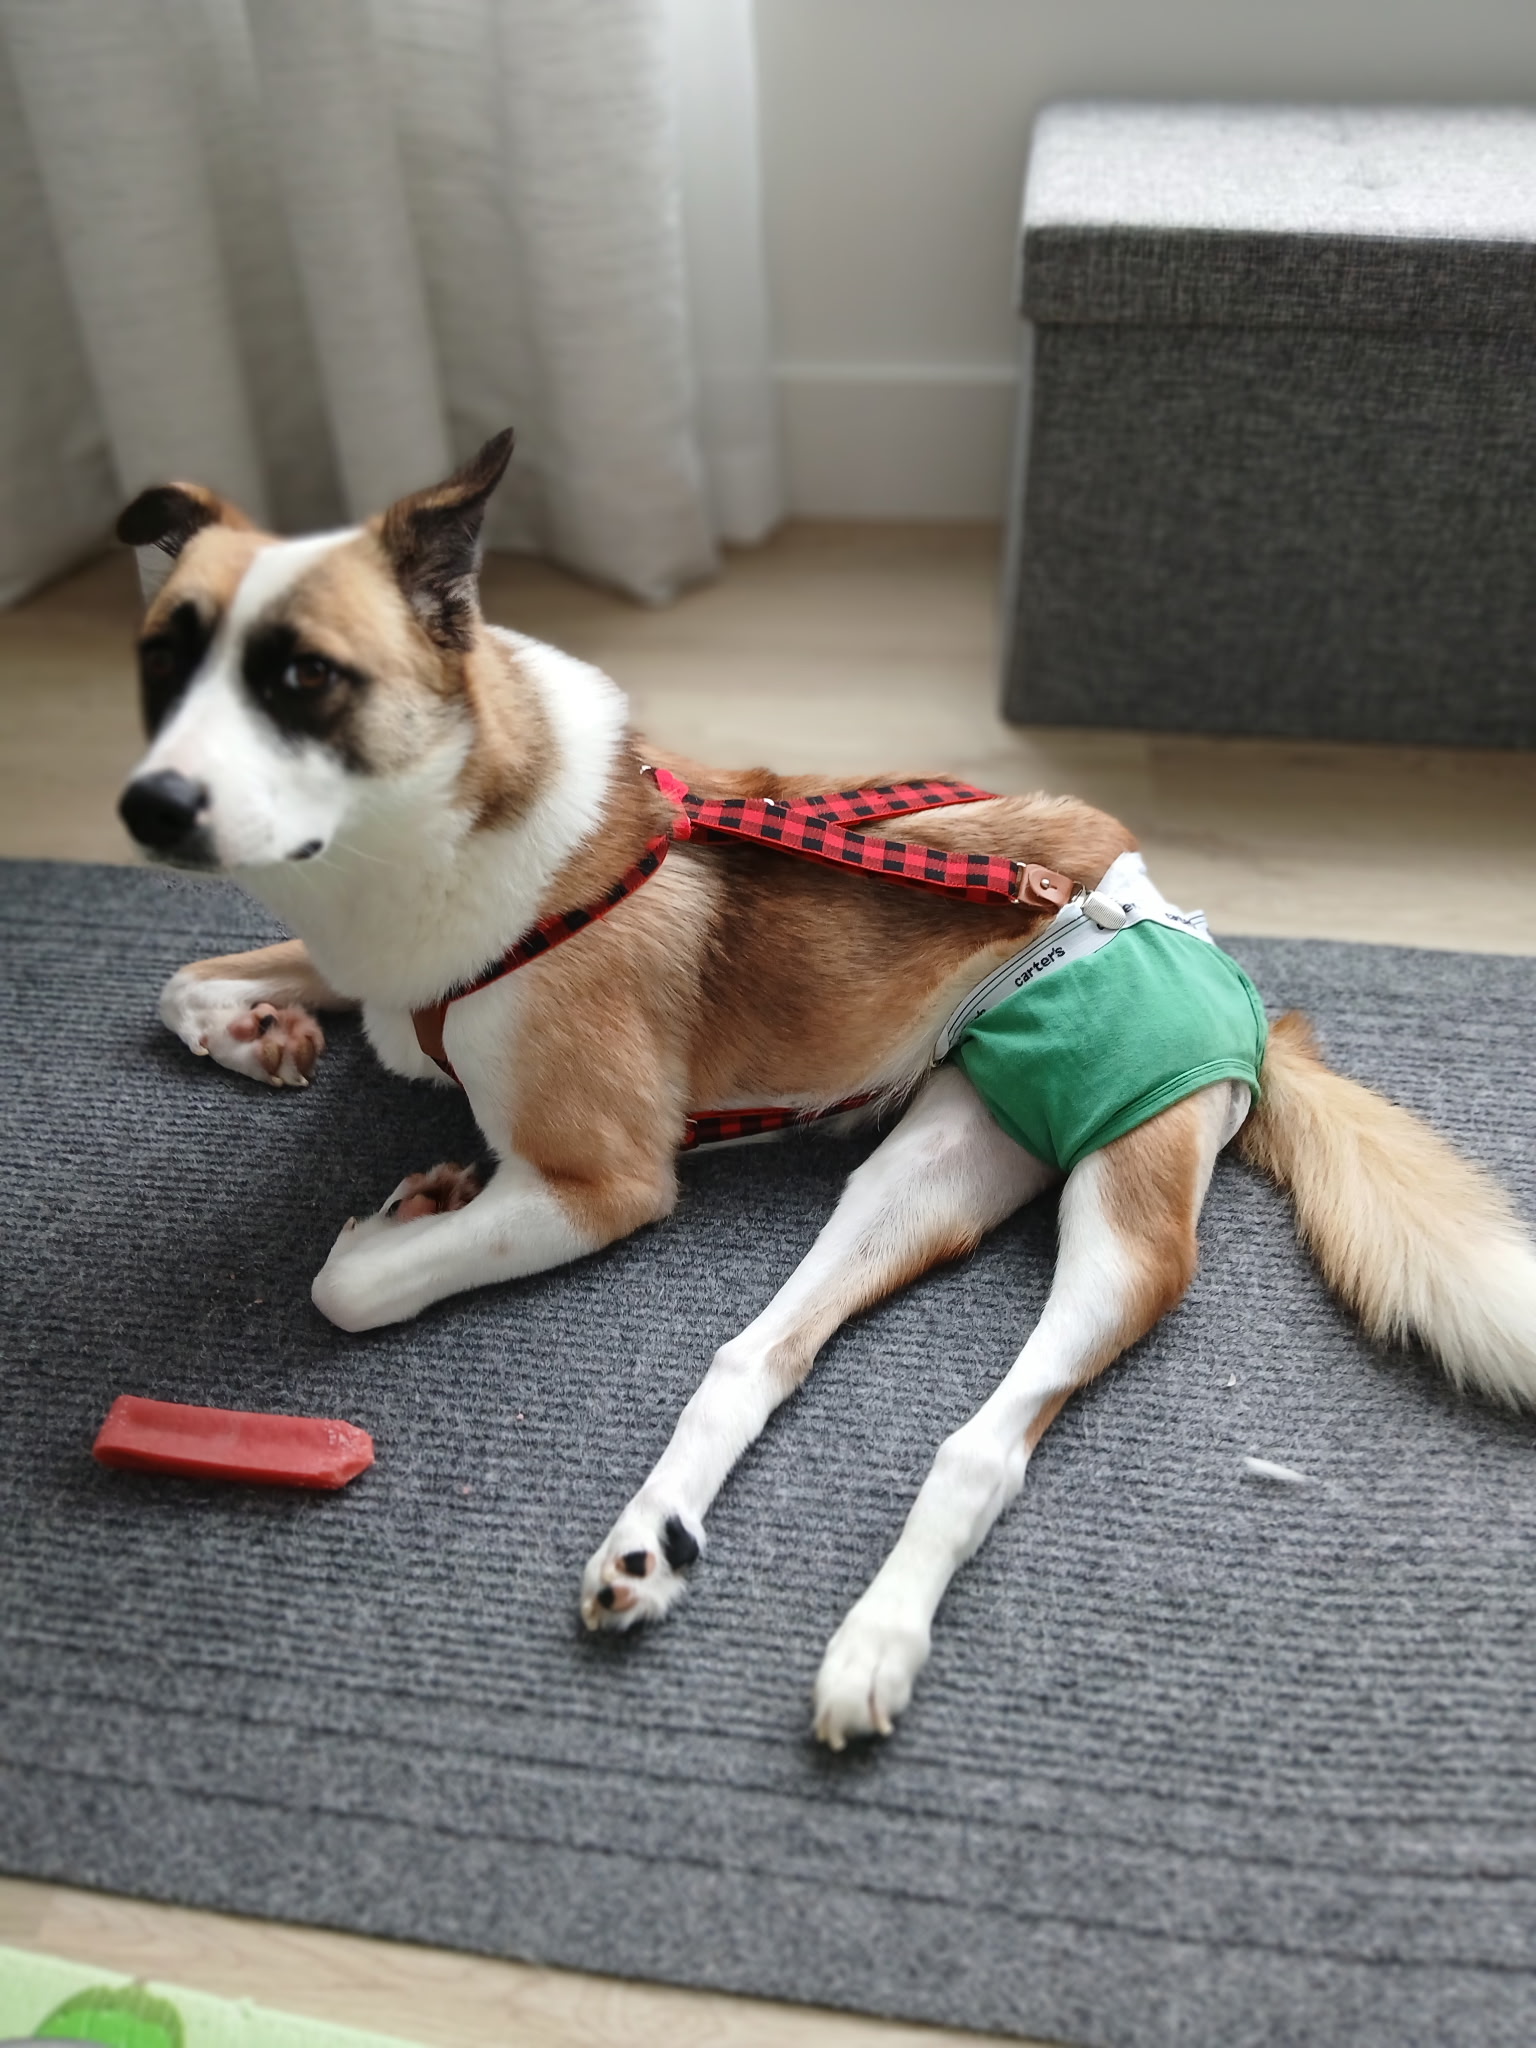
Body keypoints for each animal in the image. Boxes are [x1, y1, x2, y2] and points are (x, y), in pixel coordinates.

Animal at [115, 432, 1536, 1748]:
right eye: (160, 658)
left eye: (304, 673)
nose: (150, 806)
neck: (428, 832)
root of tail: (1209, 957)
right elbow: (179, 978)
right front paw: (254, 1024)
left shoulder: (602, 1181)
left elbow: (349, 1285)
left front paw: (396, 1212)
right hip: (923, 1166)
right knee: (756, 1354)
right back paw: (651, 1544)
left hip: (1127, 1221)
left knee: (981, 1444)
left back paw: (871, 1647)